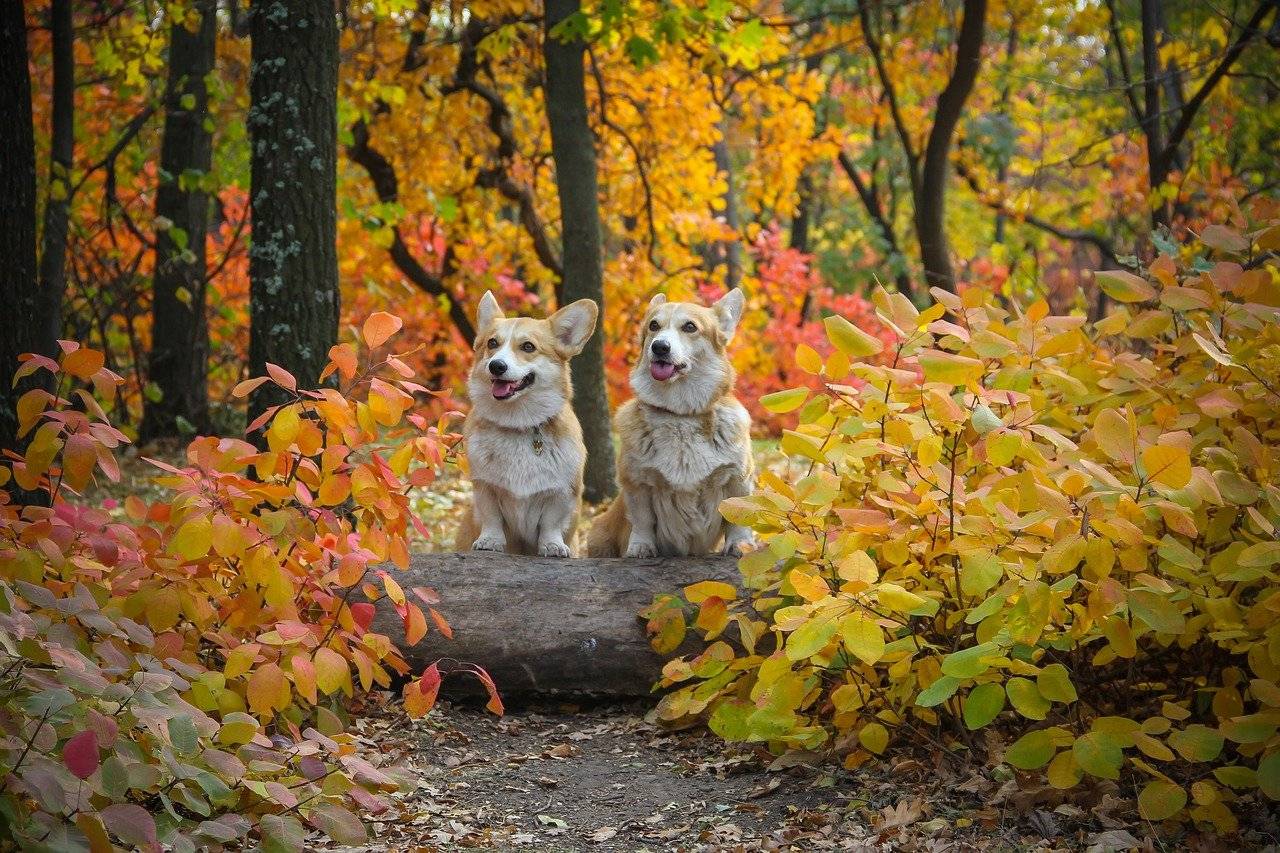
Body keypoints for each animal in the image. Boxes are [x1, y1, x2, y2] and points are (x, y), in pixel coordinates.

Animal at [455, 292, 599, 558]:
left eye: (528, 347)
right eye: (492, 343)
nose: (496, 365)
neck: (518, 424)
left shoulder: (561, 493)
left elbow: (551, 523)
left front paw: (552, 546)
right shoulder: (485, 488)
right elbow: (492, 518)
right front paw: (490, 541)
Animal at [586, 289, 752, 558]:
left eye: (690, 327)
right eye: (654, 325)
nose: (660, 347)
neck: (680, 414)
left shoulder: (738, 477)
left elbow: (738, 517)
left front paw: (741, 545)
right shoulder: (637, 482)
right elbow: (642, 520)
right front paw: (641, 547)